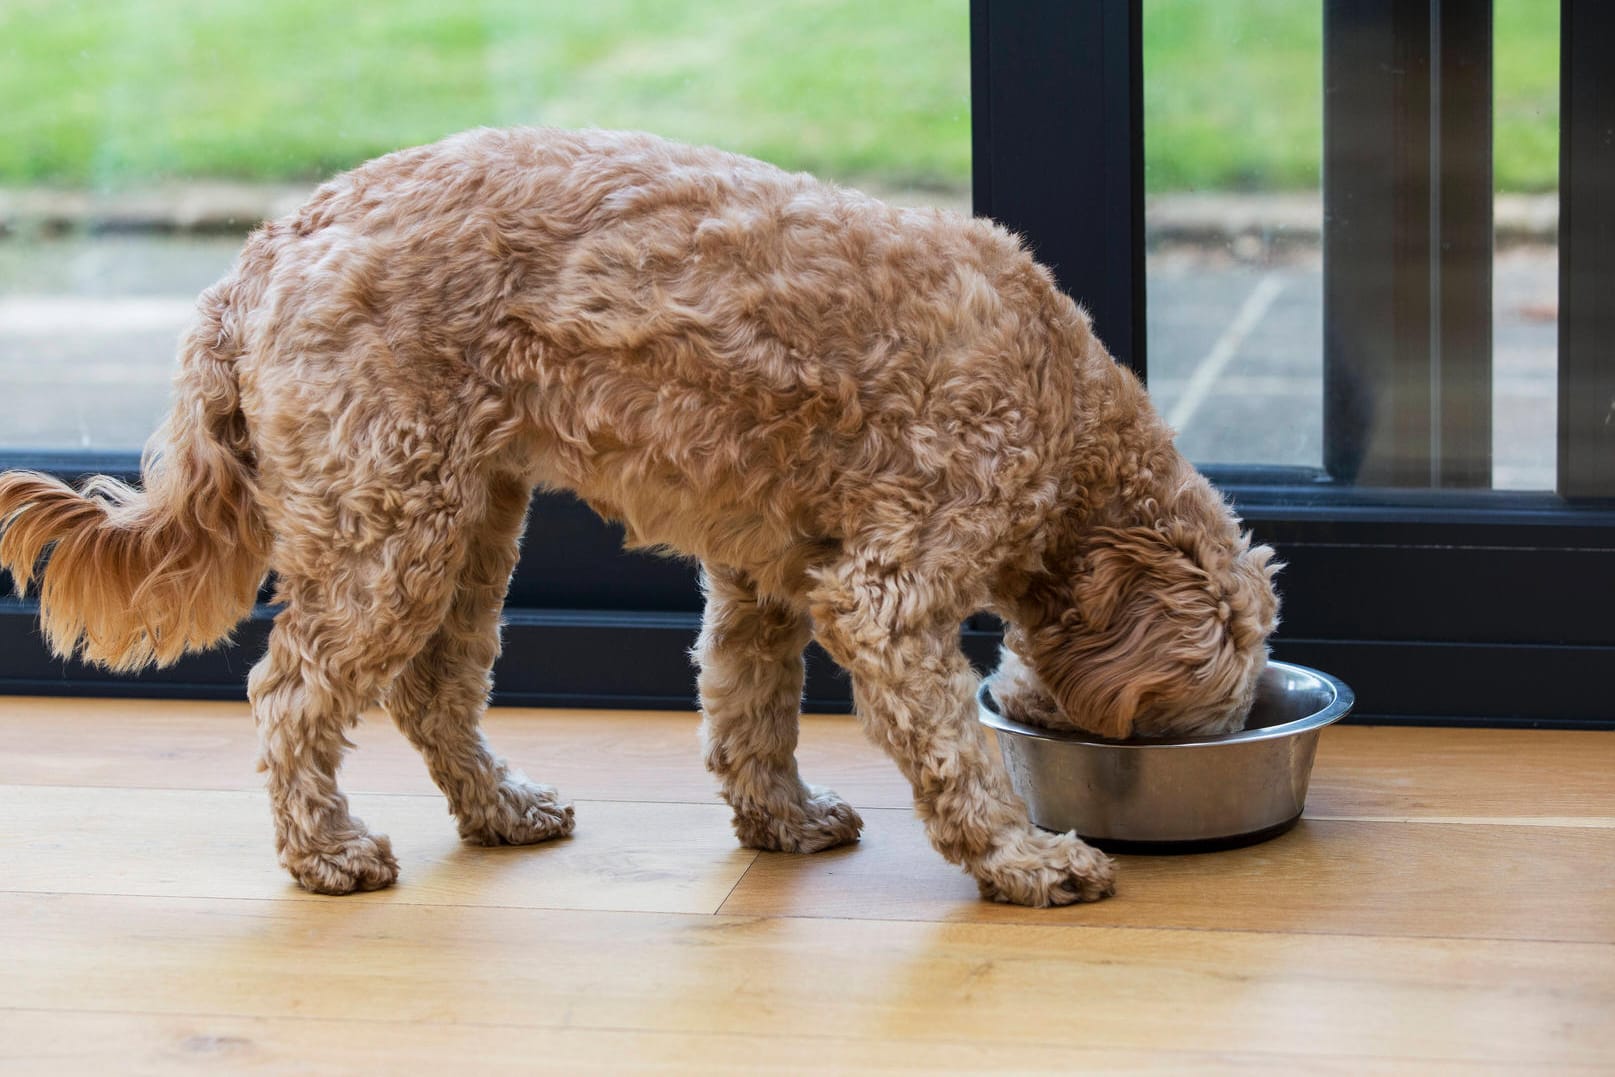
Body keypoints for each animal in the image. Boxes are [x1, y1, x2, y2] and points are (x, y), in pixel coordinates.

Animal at [6, 128, 1279, 910]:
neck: (1069, 417)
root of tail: (267, 252)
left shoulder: (767, 576)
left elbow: (749, 710)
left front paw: (782, 819)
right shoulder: (887, 591)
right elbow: (954, 753)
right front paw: (1023, 859)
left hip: (467, 518)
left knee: (433, 690)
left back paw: (500, 808)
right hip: (388, 529)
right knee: (292, 692)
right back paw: (325, 849)